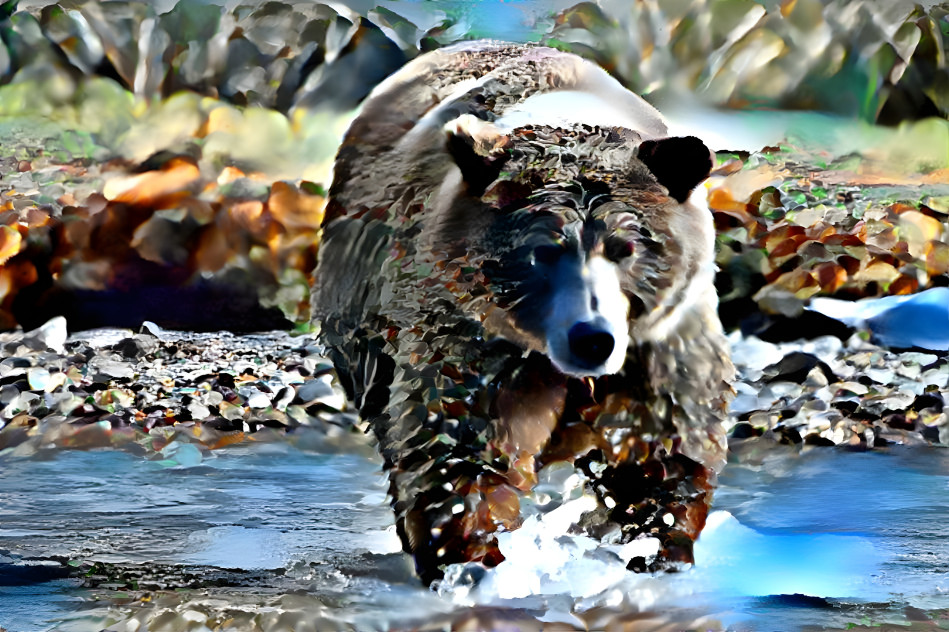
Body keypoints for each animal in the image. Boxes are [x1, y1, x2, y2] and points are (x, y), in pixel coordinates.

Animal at [312, 42, 732, 584]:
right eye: (543, 251)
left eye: (626, 246)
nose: (592, 338)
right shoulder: (476, 339)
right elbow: (461, 446)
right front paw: (470, 559)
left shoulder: (659, 344)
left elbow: (661, 449)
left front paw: (655, 547)